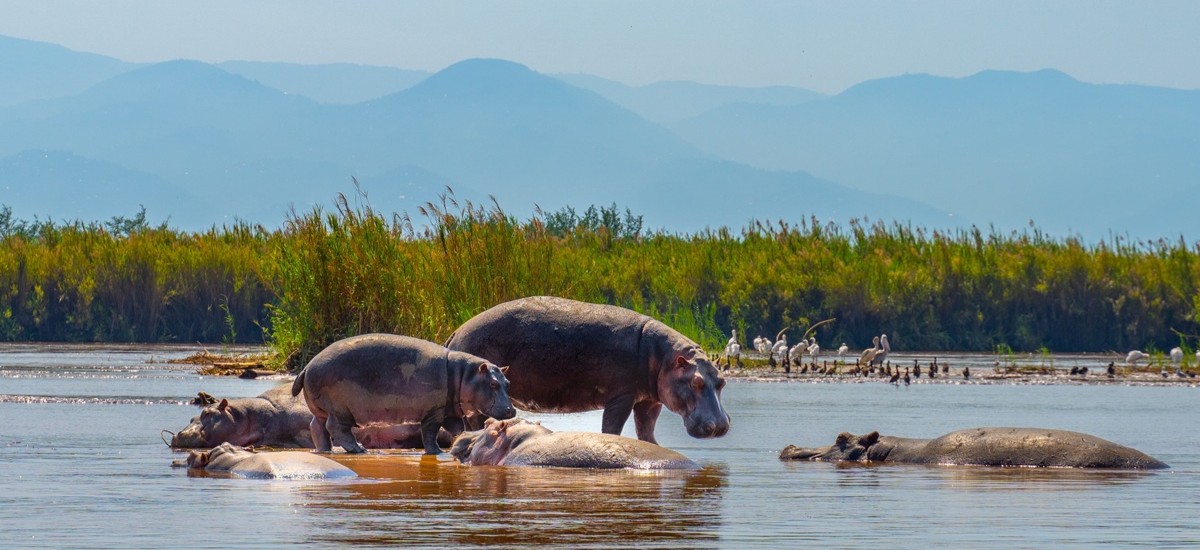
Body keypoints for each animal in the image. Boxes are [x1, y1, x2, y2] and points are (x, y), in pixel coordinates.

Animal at [291, 333, 516, 455]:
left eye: (508, 382)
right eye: (493, 384)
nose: (512, 410)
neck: (464, 375)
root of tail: (307, 366)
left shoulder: (448, 411)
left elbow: (457, 429)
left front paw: (460, 440)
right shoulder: (434, 412)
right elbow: (430, 432)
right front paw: (436, 451)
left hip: (321, 408)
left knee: (317, 427)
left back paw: (324, 450)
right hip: (340, 410)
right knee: (336, 428)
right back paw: (359, 449)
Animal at [445, 296, 730, 444]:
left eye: (722, 381)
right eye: (695, 382)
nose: (719, 426)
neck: (666, 358)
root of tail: (456, 331)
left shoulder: (650, 400)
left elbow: (646, 430)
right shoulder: (622, 396)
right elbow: (612, 427)